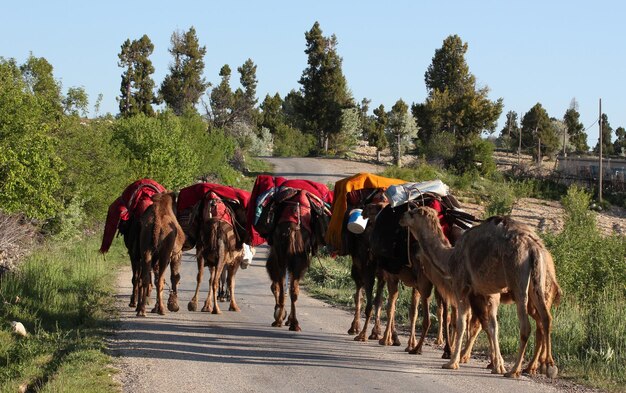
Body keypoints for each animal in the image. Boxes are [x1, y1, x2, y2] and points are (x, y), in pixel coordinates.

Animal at [398, 207, 560, 378]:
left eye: (413, 212)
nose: (401, 217)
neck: (450, 258)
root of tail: (533, 248)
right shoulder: (486, 293)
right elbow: (492, 326)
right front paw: (497, 365)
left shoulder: (461, 287)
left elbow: (462, 323)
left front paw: (452, 363)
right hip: (537, 282)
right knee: (546, 318)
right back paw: (547, 366)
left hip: (518, 279)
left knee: (526, 326)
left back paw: (515, 370)